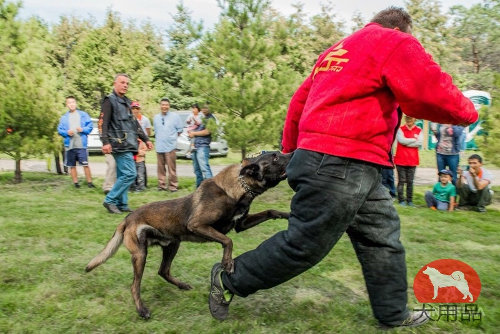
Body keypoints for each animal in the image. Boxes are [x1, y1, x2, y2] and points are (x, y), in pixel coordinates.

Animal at [84, 151, 292, 318]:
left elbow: (270, 211)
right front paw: (227, 262)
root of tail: (127, 218)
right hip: (140, 255)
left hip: (173, 245)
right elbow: (228, 240)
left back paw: (182, 285)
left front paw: (286, 214)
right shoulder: (197, 225)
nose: (293, 153)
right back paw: (142, 310)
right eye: (275, 157)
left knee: (163, 271)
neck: (239, 187)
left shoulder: (241, 224)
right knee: (135, 285)